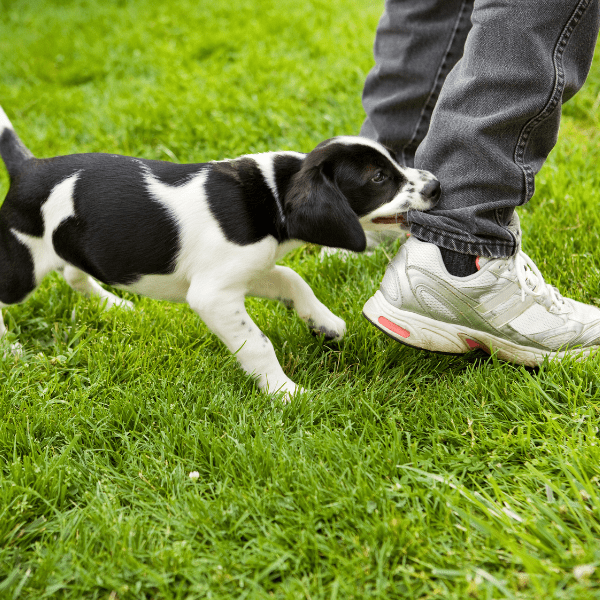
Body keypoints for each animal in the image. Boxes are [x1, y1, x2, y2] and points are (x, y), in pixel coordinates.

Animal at [0, 108, 440, 398]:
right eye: (379, 178)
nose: (436, 186)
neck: (274, 193)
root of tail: (29, 168)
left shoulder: (247, 270)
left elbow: (292, 278)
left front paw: (324, 322)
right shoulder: (212, 295)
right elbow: (259, 344)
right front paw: (285, 392)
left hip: (72, 246)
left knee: (74, 273)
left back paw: (115, 305)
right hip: (23, 266)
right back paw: (10, 349)